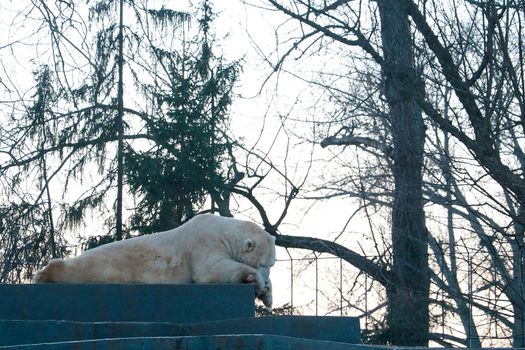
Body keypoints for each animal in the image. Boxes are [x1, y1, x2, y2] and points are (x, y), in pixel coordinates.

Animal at [33, 215, 274, 308]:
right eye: (263, 264)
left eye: (272, 264)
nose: (266, 277)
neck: (222, 229)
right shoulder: (203, 242)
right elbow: (210, 270)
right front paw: (259, 282)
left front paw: (266, 294)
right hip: (106, 264)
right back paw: (45, 273)